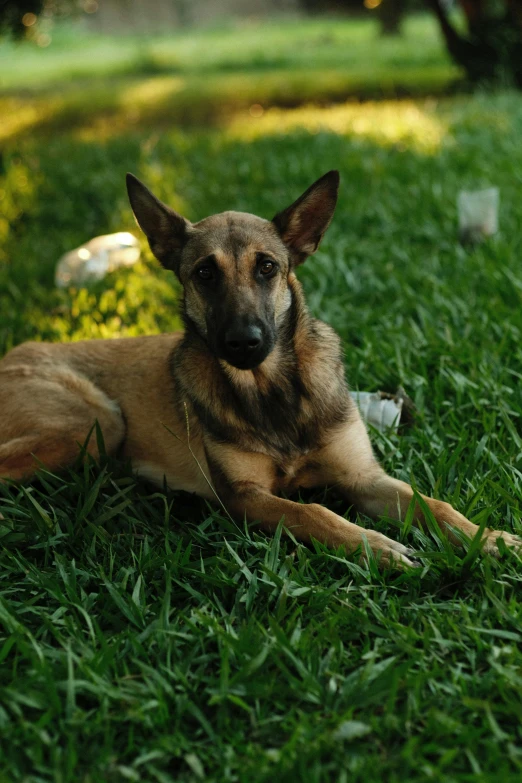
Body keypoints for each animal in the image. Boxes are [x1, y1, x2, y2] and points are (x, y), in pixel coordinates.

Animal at [0, 172, 516, 568]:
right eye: (204, 273)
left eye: (267, 267)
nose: (244, 342)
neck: (273, 391)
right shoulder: (245, 497)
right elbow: (315, 513)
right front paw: (376, 547)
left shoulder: (363, 477)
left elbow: (434, 505)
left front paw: (488, 537)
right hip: (96, 421)